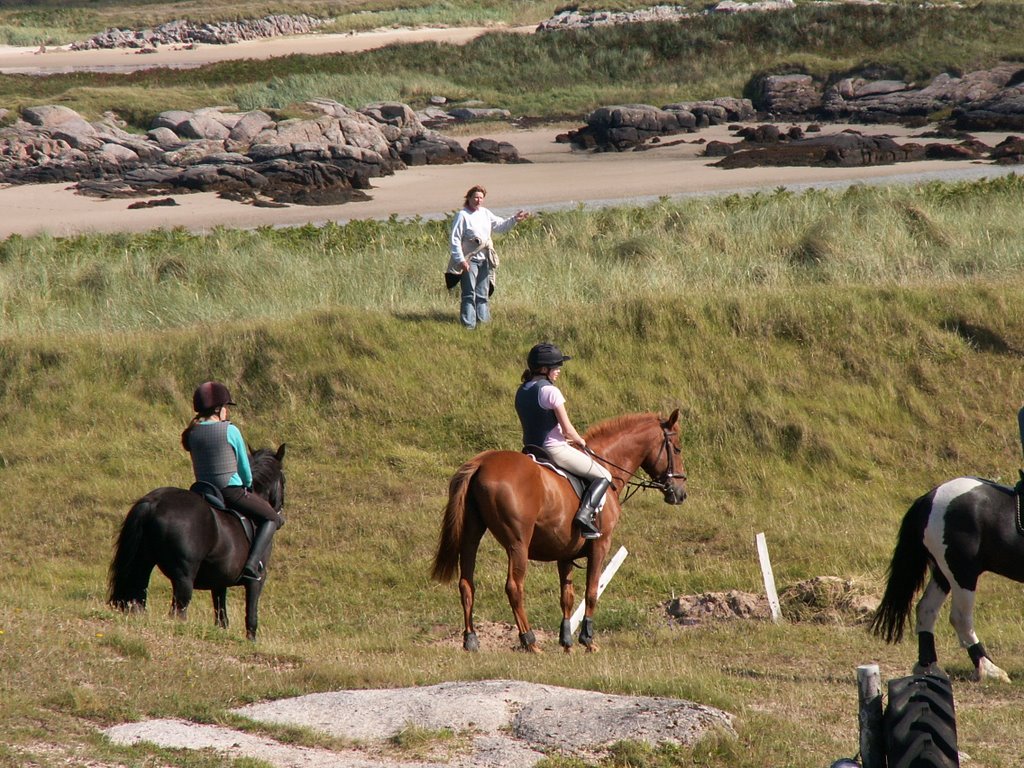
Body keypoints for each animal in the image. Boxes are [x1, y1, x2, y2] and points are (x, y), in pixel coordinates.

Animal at [428, 411, 684, 651]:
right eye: (677, 448)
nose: (680, 493)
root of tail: (482, 461)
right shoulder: (600, 545)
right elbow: (592, 591)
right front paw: (587, 640)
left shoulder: (565, 553)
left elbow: (566, 597)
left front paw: (567, 642)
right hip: (518, 544)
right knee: (514, 587)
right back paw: (530, 642)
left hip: (471, 536)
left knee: (466, 583)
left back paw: (471, 640)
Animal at [868, 475, 1019, 684]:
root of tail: (928, 498)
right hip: (962, 573)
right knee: (960, 618)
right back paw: (990, 669)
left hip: (942, 573)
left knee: (926, 610)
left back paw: (929, 668)